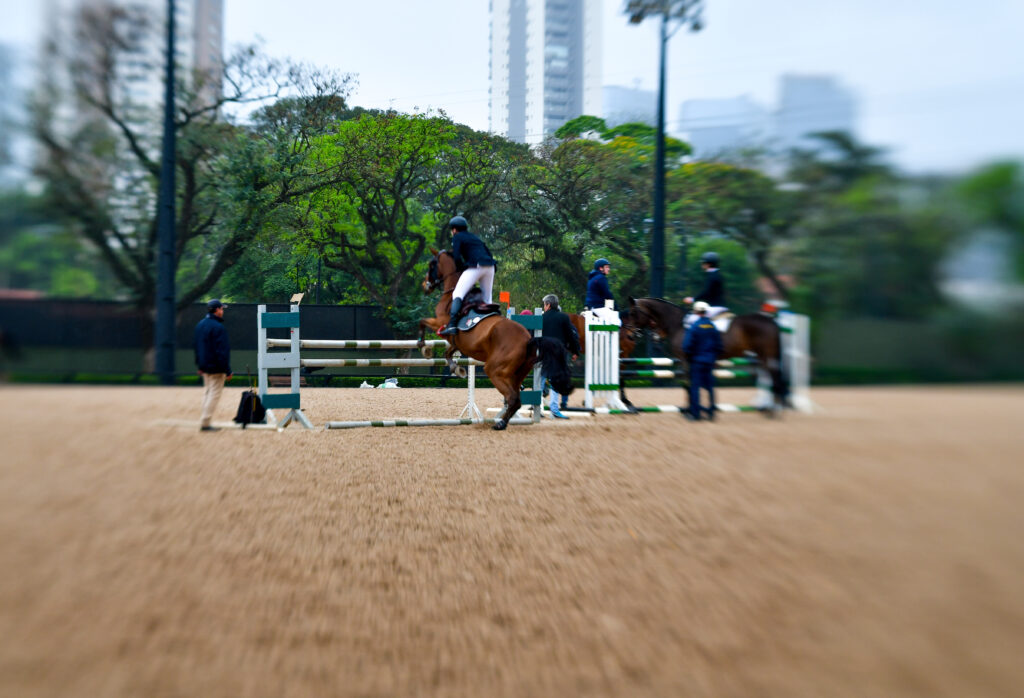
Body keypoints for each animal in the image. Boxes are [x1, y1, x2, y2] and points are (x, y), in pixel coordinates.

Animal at [419, 249, 575, 430]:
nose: (425, 285)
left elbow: (422, 321)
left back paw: (500, 423)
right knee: (516, 399)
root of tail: (528, 340)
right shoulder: (457, 342)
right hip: (516, 374)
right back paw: (503, 421)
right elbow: (448, 353)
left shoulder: (441, 324)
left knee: (513, 398)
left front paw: (423, 346)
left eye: (432, 265)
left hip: (494, 370)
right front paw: (457, 369)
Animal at [624, 297, 789, 415]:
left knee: (773, 376)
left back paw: (775, 410)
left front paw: (690, 410)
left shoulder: (686, 360)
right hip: (763, 356)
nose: (631, 336)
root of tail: (771, 321)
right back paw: (769, 408)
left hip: (766, 355)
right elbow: (697, 385)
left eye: (633, 313)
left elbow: (688, 384)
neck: (679, 324)